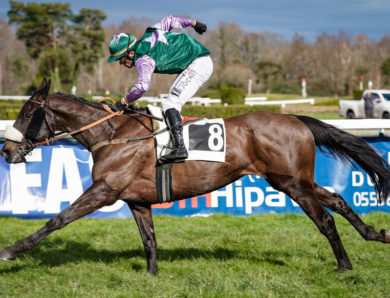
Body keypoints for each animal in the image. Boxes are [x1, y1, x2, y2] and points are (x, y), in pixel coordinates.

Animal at [0, 78, 390, 274]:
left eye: (27, 113)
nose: (6, 151)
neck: (113, 134)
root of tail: (296, 119)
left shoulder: (105, 190)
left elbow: (58, 219)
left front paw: (12, 250)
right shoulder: (136, 200)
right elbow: (149, 240)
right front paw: (152, 277)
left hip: (292, 183)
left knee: (325, 220)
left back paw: (344, 265)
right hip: (291, 180)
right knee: (337, 199)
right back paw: (375, 234)